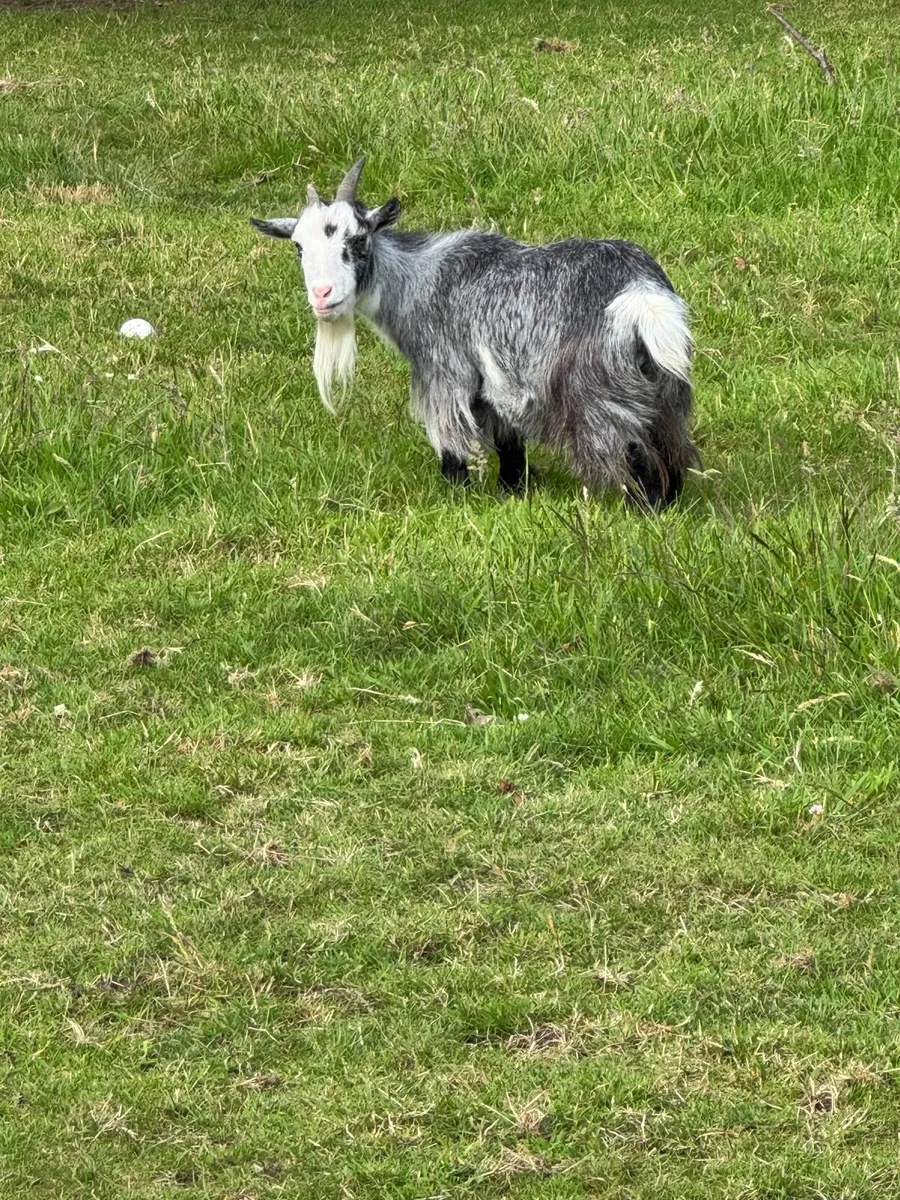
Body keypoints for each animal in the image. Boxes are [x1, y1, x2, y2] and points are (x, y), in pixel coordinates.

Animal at [251, 157, 700, 508]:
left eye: (358, 239)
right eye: (298, 246)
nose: (322, 294)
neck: (419, 279)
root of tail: (642, 292)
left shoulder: (446, 373)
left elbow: (451, 441)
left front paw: (457, 494)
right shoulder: (494, 387)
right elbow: (509, 444)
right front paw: (512, 491)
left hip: (593, 390)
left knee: (631, 447)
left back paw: (642, 509)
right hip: (662, 385)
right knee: (669, 443)